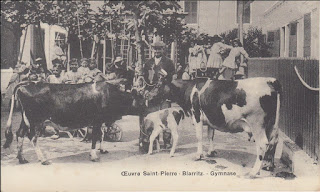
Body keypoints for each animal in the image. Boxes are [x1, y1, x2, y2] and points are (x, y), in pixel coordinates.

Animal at [3, 80, 137, 164]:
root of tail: (25, 84)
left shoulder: (100, 121)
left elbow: (102, 135)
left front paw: (102, 150)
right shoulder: (97, 120)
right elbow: (95, 136)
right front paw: (94, 156)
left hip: (26, 119)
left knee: (20, 133)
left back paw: (22, 159)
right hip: (36, 121)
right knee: (32, 137)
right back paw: (43, 160)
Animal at [136, 77, 282, 178]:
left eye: (158, 85)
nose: (146, 94)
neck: (189, 89)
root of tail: (271, 80)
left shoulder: (196, 115)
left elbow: (199, 137)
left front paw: (198, 155)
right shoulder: (210, 118)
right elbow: (210, 135)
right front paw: (210, 152)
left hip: (257, 123)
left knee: (263, 144)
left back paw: (253, 172)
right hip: (272, 124)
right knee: (274, 142)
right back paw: (268, 166)